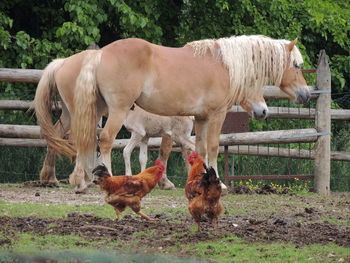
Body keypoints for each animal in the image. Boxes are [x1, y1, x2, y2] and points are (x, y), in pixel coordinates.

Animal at [34, 35, 308, 194]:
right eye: (297, 65)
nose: (306, 93)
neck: (223, 64)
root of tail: (99, 54)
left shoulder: (201, 118)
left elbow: (199, 150)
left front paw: (201, 180)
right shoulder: (216, 115)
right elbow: (212, 147)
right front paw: (219, 182)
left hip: (85, 111)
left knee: (73, 139)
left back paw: (72, 180)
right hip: (115, 110)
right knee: (104, 140)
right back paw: (102, 178)